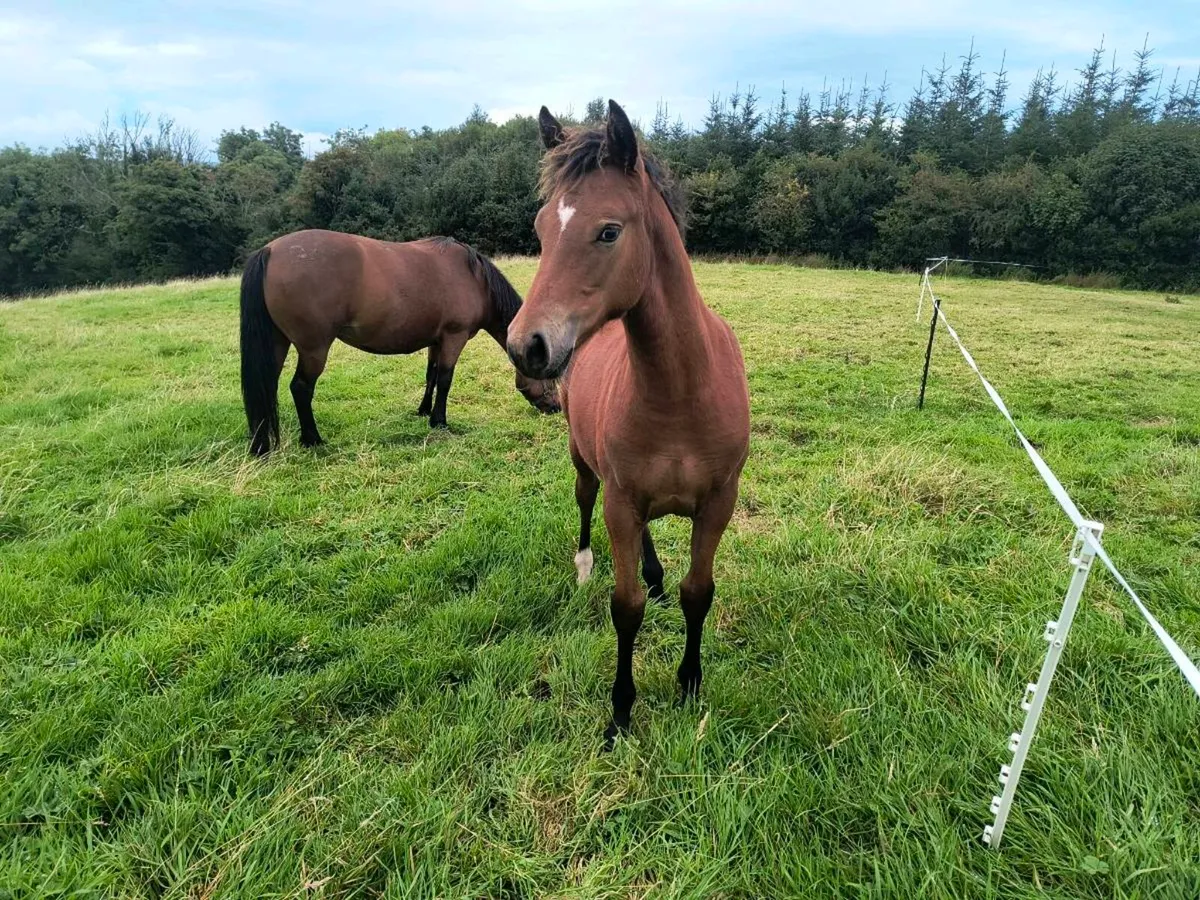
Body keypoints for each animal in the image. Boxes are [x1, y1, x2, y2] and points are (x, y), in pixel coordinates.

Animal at [239, 229, 559, 455]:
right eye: (551, 377)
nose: (555, 407)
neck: (474, 278)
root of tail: (270, 250)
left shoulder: (436, 340)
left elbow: (431, 376)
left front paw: (424, 411)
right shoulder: (453, 338)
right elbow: (446, 379)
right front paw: (439, 421)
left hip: (278, 344)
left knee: (268, 385)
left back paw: (263, 443)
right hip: (313, 348)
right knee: (301, 388)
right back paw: (313, 439)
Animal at [506, 101, 751, 747]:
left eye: (608, 231)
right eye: (541, 229)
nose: (526, 347)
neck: (680, 391)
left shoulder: (718, 501)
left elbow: (698, 593)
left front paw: (689, 684)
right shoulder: (621, 500)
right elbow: (626, 606)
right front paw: (620, 712)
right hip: (586, 467)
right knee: (585, 504)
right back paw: (584, 566)